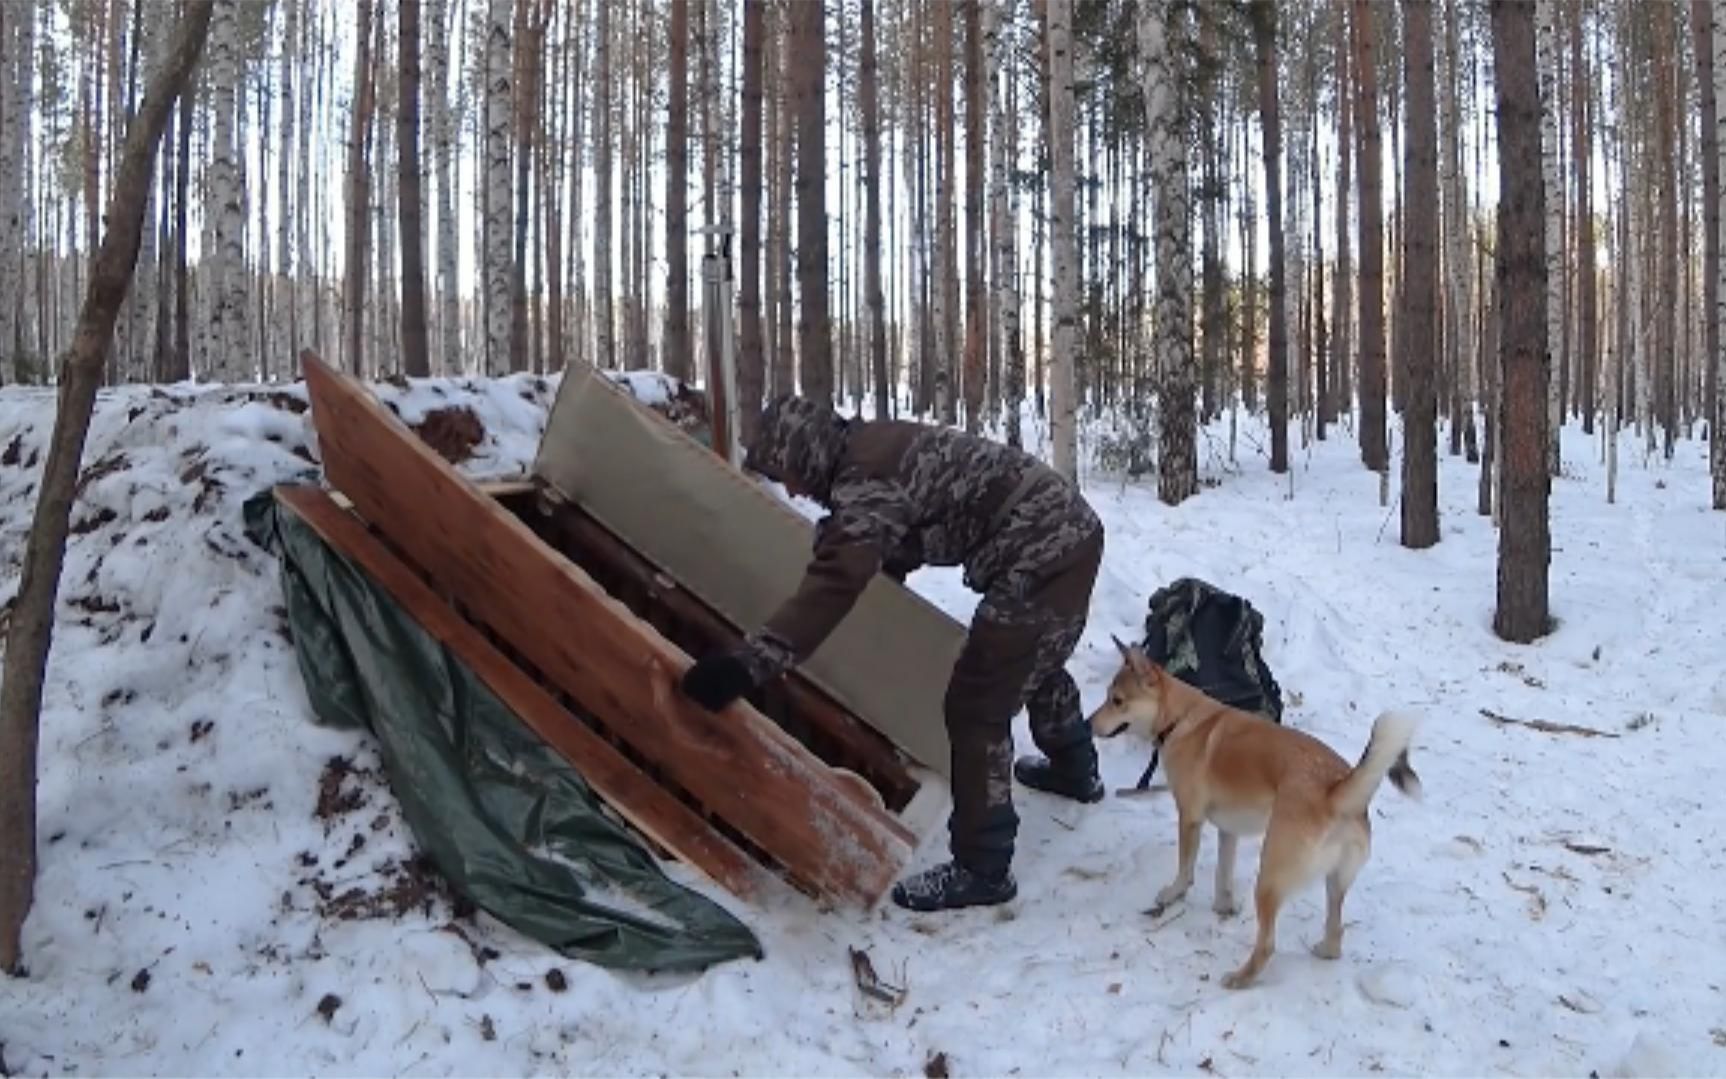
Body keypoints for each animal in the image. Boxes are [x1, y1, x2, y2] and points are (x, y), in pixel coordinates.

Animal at [1083, 635, 1422, 987]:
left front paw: (1173, 894)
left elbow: (1186, 869)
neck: (1180, 718)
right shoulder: (1228, 829)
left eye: (1117, 700)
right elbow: (1223, 873)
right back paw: (1323, 950)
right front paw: (1223, 907)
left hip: (1270, 876)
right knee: (1335, 930)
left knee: (1268, 945)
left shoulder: (1190, 818)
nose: (1085, 724)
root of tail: (1336, 790)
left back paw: (1240, 978)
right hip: (1335, 881)